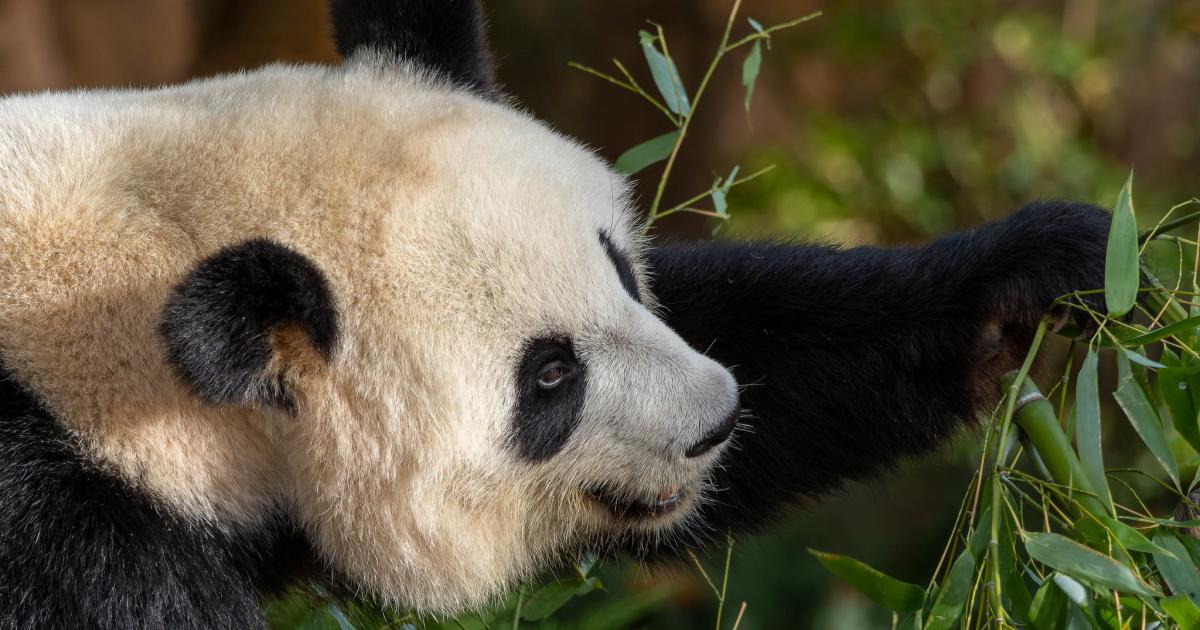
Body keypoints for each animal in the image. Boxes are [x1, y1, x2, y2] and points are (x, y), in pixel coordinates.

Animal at [0, 0, 1111, 627]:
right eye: (548, 376)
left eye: (620, 268)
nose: (715, 422)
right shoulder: (69, 542)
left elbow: (762, 329)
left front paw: (1037, 283)